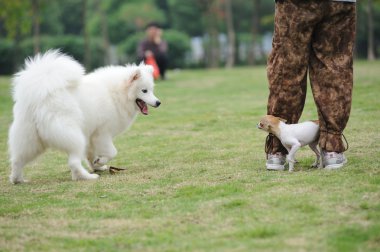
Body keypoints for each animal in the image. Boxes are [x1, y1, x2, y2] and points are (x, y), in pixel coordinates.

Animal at [8, 49, 160, 183]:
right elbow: (112, 152)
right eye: (144, 91)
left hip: (30, 141)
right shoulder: (102, 133)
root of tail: (40, 96)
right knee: (73, 162)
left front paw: (97, 165)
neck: (116, 93)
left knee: (17, 160)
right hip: (73, 136)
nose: (158, 103)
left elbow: (90, 155)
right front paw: (100, 162)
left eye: (152, 90)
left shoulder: (91, 135)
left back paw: (18, 179)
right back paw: (87, 177)